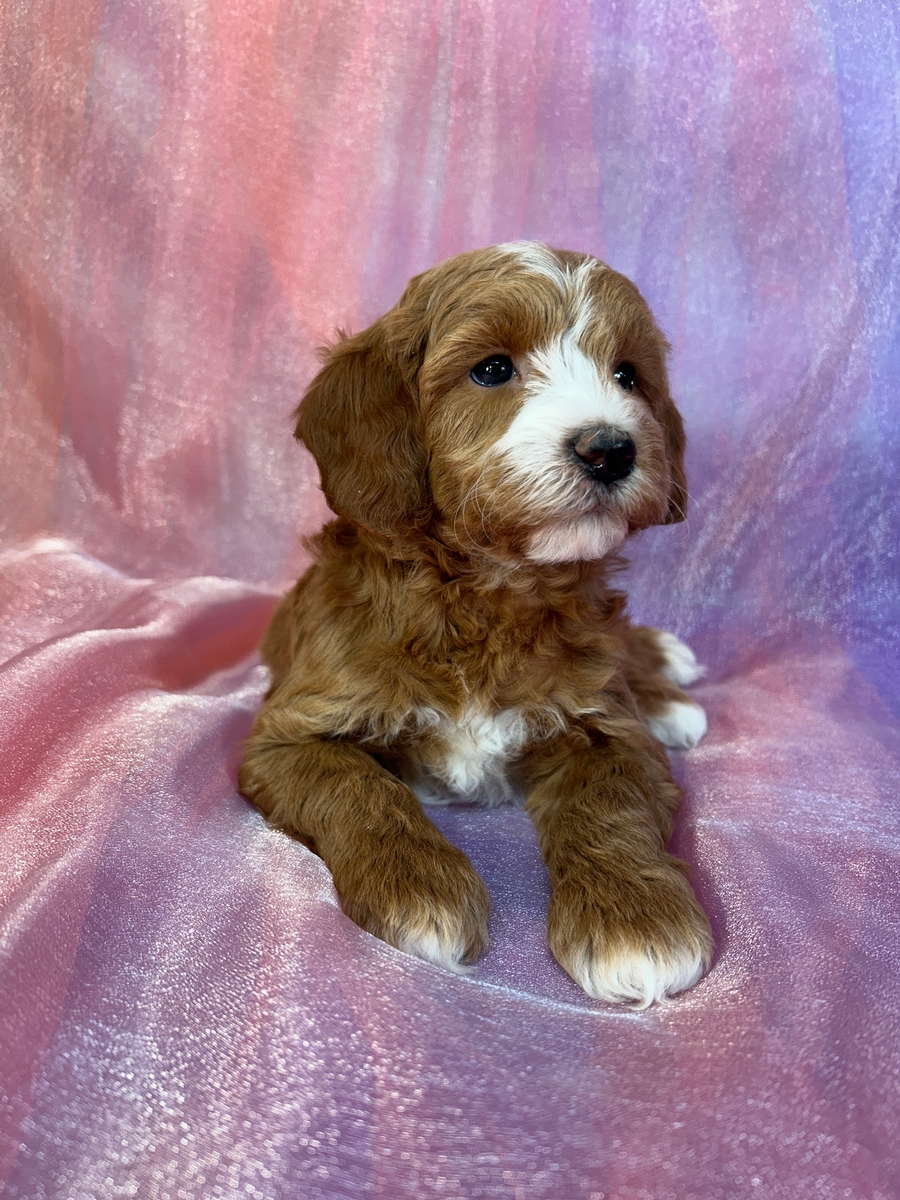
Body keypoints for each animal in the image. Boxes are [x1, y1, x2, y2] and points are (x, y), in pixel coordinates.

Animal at [237, 241, 710, 1003]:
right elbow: (359, 787)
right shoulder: (291, 733)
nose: (610, 448)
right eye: (491, 369)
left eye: (627, 375)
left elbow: (610, 803)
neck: (487, 596)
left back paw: (666, 683)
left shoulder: (608, 726)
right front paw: (419, 891)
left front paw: (640, 922)